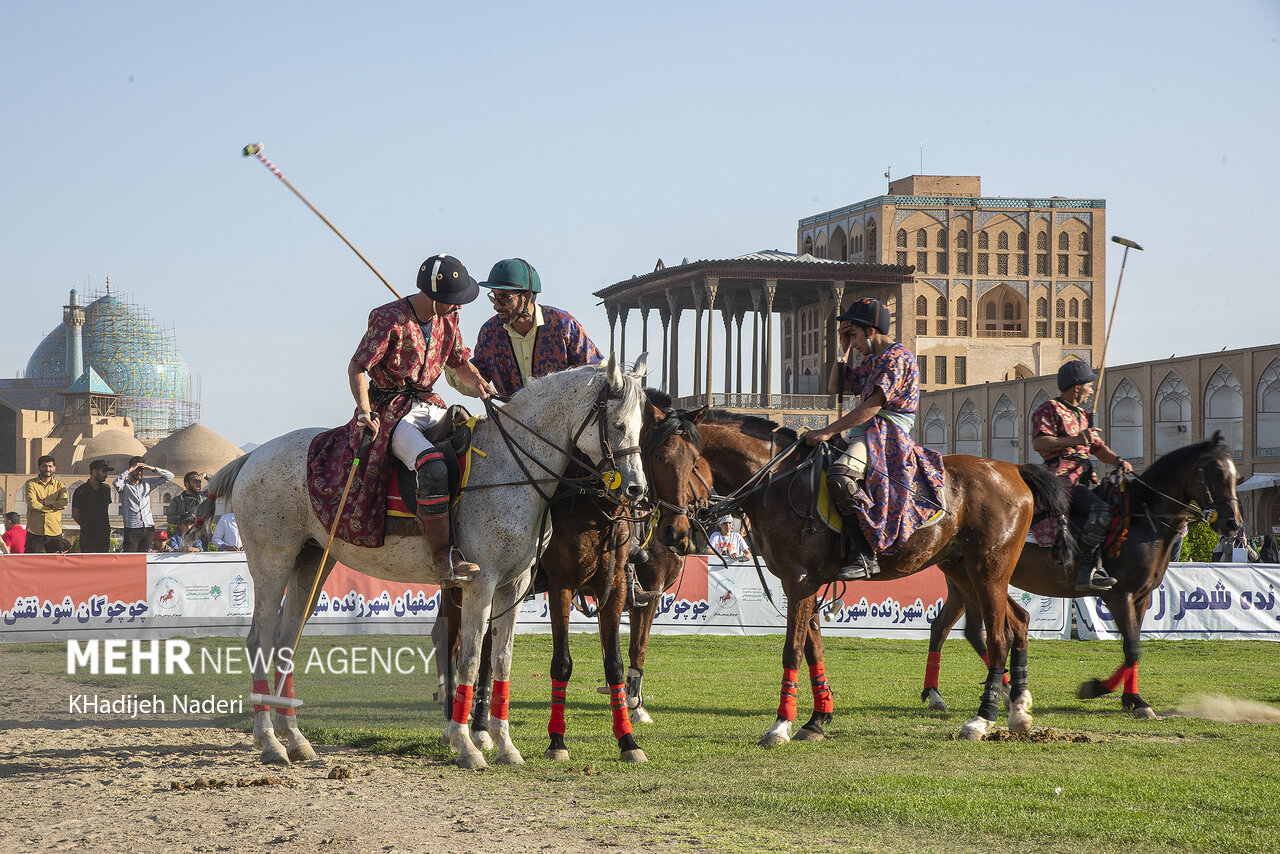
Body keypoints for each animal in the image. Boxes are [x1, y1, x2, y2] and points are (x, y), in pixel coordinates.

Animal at [202, 358, 650, 773]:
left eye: (641, 424)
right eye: (616, 424)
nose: (637, 490)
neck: (511, 470)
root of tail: (252, 456)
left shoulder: (514, 586)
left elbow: (501, 660)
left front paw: (505, 747)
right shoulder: (482, 584)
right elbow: (470, 659)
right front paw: (468, 745)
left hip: (313, 561)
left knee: (285, 641)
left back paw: (295, 739)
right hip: (272, 561)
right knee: (260, 640)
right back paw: (269, 741)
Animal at [435, 386, 706, 763]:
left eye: (694, 460)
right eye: (662, 458)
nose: (678, 533)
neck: (594, 511)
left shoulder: (618, 588)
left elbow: (620, 660)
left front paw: (629, 738)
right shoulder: (562, 586)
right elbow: (562, 662)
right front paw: (557, 741)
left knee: (486, 653)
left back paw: (480, 730)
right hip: (462, 588)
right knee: (454, 644)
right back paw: (458, 729)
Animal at [680, 407, 1070, 742]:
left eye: (683, 462)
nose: (678, 530)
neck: (777, 482)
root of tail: (1014, 470)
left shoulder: (799, 580)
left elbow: (793, 649)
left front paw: (780, 726)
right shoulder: (806, 583)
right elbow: (813, 648)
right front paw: (817, 719)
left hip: (988, 569)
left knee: (999, 636)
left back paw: (981, 718)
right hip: (964, 570)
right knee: (1016, 623)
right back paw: (1017, 711)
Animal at [921, 430, 1239, 717]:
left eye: (1235, 477)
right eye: (1216, 472)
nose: (1233, 523)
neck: (1140, 520)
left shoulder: (1142, 597)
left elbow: (1134, 647)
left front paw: (1132, 697)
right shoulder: (1119, 595)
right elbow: (1132, 647)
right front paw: (1102, 690)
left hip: (969, 583)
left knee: (949, 629)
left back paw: (947, 693)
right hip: (980, 578)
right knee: (968, 631)